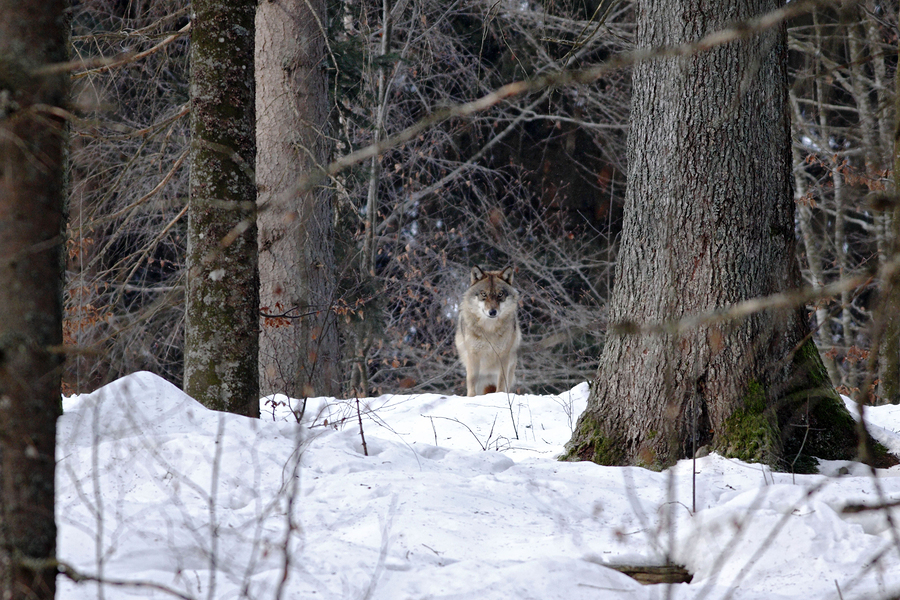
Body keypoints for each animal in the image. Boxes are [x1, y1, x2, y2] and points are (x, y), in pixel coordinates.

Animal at [454, 264, 524, 396]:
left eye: (500, 294)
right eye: (484, 294)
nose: (492, 312)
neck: (489, 329)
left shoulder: (503, 356)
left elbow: (501, 380)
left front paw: (500, 395)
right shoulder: (473, 355)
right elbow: (472, 381)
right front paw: (471, 397)